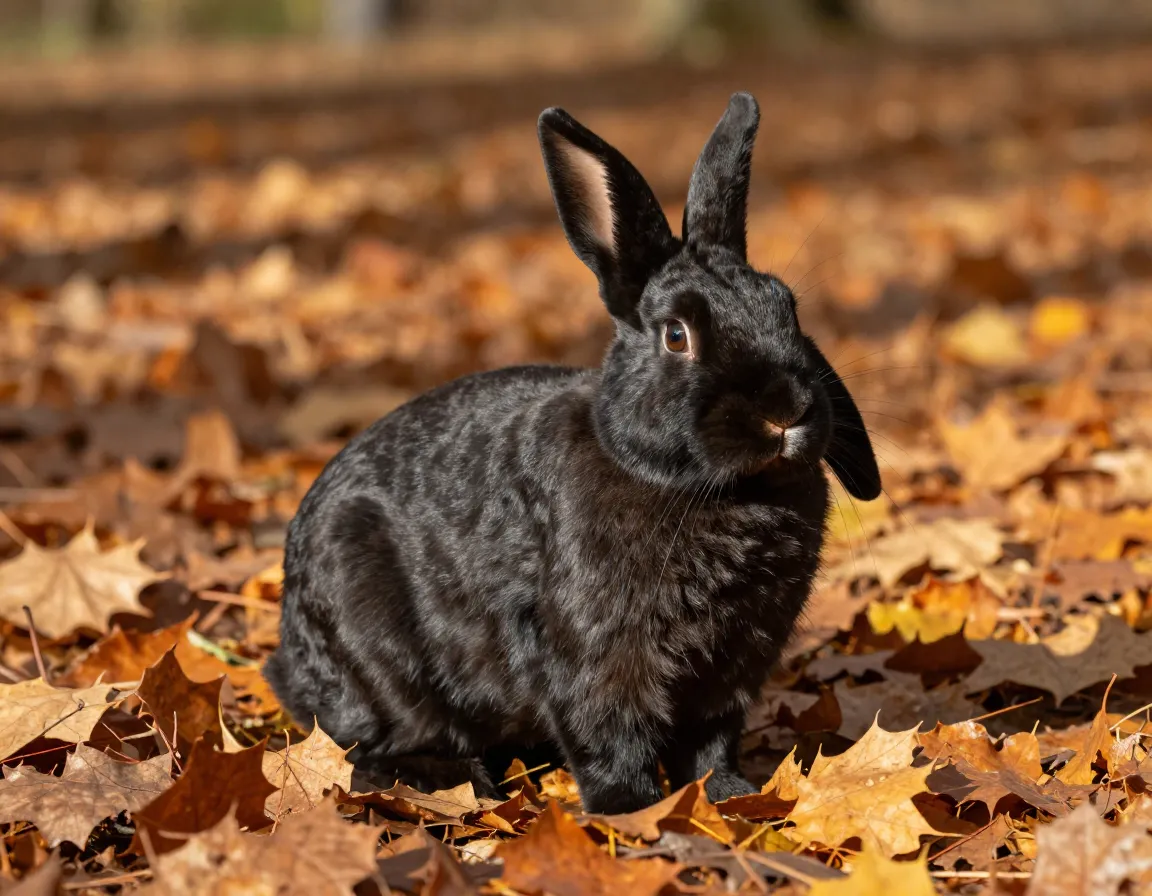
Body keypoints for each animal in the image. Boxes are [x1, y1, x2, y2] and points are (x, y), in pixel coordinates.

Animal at [263, 92, 881, 815]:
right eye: (676, 335)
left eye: (788, 309)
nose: (787, 408)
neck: (694, 483)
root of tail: (286, 660)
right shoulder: (597, 654)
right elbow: (609, 733)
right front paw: (634, 809)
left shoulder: (733, 666)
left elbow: (709, 742)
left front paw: (728, 795)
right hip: (375, 651)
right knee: (373, 743)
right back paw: (456, 781)